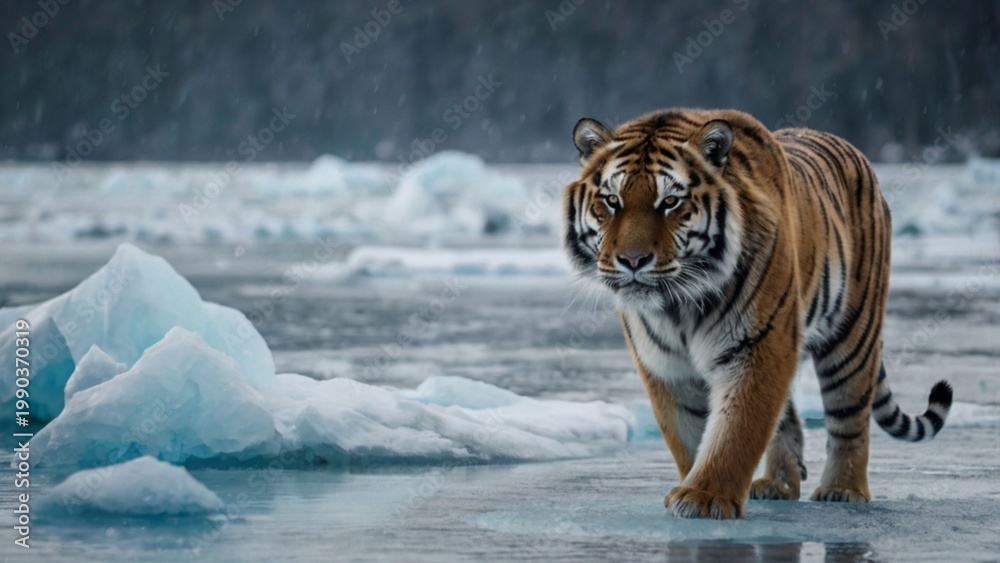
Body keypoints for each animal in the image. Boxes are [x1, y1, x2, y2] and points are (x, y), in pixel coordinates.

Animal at [561, 108, 953, 519]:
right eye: (611, 200)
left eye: (669, 202)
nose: (633, 261)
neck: (678, 305)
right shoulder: (666, 364)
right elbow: (689, 432)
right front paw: (696, 485)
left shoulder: (759, 346)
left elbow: (736, 430)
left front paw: (705, 497)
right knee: (788, 419)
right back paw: (778, 485)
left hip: (852, 337)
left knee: (850, 418)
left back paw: (843, 489)